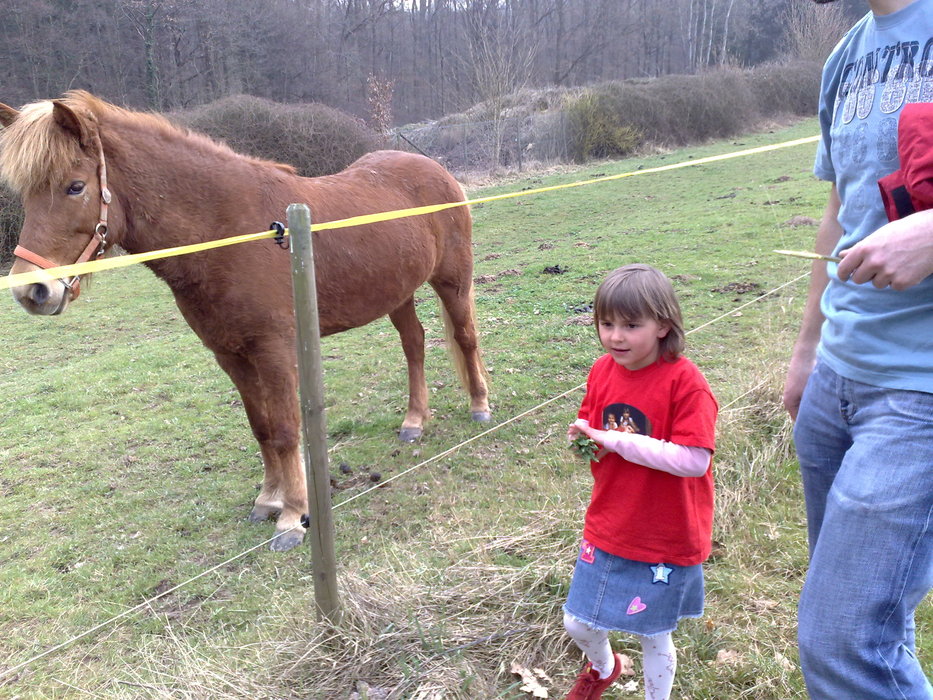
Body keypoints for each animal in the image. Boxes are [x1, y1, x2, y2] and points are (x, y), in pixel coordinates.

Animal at [0, 90, 490, 552]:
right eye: (26, 194)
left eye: (75, 186)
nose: (31, 291)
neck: (227, 231)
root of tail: (433, 168)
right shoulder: (230, 354)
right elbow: (263, 429)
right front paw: (268, 500)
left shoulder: (274, 350)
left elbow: (287, 430)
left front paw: (292, 518)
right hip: (397, 293)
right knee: (415, 344)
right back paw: (414, 422)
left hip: (452, 281)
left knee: (465, 338)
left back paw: (480, 408)